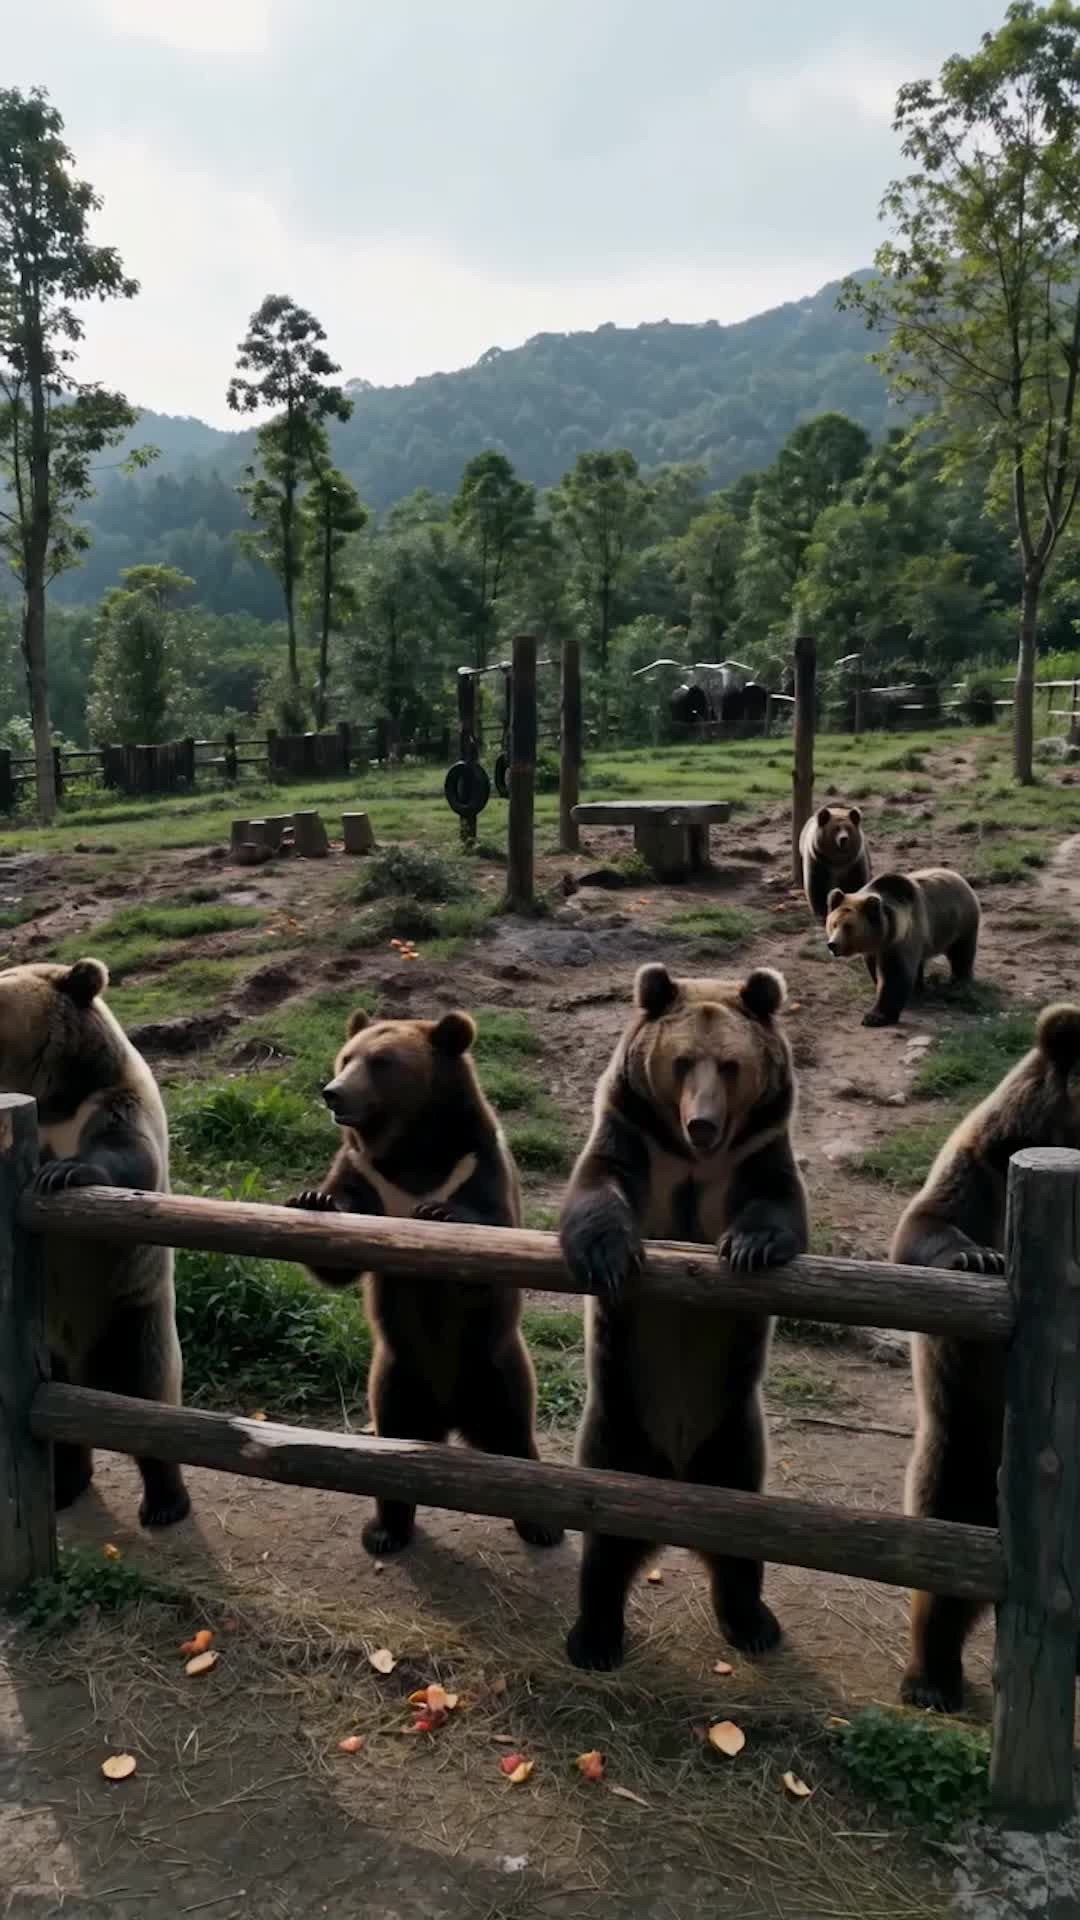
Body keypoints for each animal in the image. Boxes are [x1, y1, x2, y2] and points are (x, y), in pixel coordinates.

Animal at [0, 958, 189, 1528]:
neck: (52, 1100)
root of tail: (83, 1365)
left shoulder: (114, 1100)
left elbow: (126, 1155)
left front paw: (63, 1172)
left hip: (128, 1312)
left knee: (148, 1398)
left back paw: (165, 1502)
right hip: (47, 1345)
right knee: (60, 1430)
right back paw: (66, 1485)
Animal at [288, 1007, 563, 1558]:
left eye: (381, 1061)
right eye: (346, 1057)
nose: (333, 1093)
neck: (411, 1152)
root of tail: (449, 1415)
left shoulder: (477, 1163)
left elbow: (492, 1237)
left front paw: (439, 1212)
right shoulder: (364, 1174)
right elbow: (338, 1256)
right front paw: (311, 1199)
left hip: (495, 1368)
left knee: (516, 1440)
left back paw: (541, 1524)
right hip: (397, 1377)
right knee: (392, 1454)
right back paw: (385, 1530)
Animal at [558, 962, 808, 1672]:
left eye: (730, 1064)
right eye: (680, 1062)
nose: (702, 1123)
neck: (696, 1161)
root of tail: (674, 1473)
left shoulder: (755, 1151)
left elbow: (778, 1206)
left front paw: (749, 1247)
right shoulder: (635, 1137)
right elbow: (597, 1188)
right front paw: (608, 1256)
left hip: (734, 1439)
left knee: (742, 1546)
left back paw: (752, 1621)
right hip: (616, 1431)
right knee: (604, 1547)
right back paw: (594, 1636)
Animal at [824, 867, 980, 1027]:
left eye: (849, 927)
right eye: (834, 924)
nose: (833, 945)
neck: (884, 935)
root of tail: (958, 876)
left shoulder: (902, 940)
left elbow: (894, 976)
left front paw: (875, 1016)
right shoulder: (874, 949)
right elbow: (875, 968)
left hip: (959, 923)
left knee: (961, 954)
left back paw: (958, 984)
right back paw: (919, 988)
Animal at [890, 1002, 1080, 1711]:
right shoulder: (980, 1166)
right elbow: (924, 1228)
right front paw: (977, 1256)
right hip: (967, 1445)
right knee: (948, 1567)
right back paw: (932, 1677)